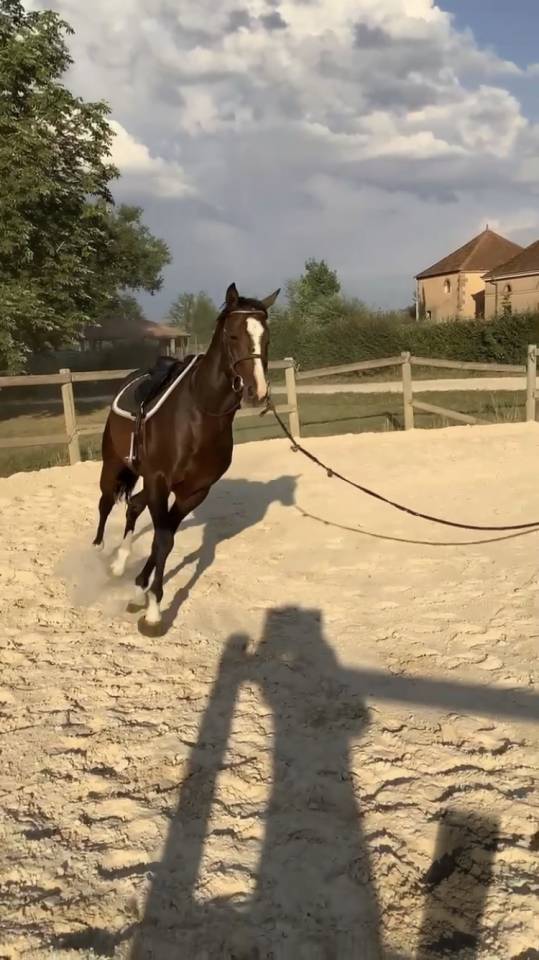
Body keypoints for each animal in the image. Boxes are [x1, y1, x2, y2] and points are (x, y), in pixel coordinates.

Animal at [92, 282, 280, 635]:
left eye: (266, 337)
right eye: (233, 335)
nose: (257, 392)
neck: (199, 415)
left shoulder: (193, 491)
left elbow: (163, 538)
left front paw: (142, 594)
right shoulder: (160, 481)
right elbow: (163, 540)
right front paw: (153, 612)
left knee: (134, 506)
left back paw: (122, 565)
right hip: (114, 464)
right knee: (107, 502)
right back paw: (99, 555)